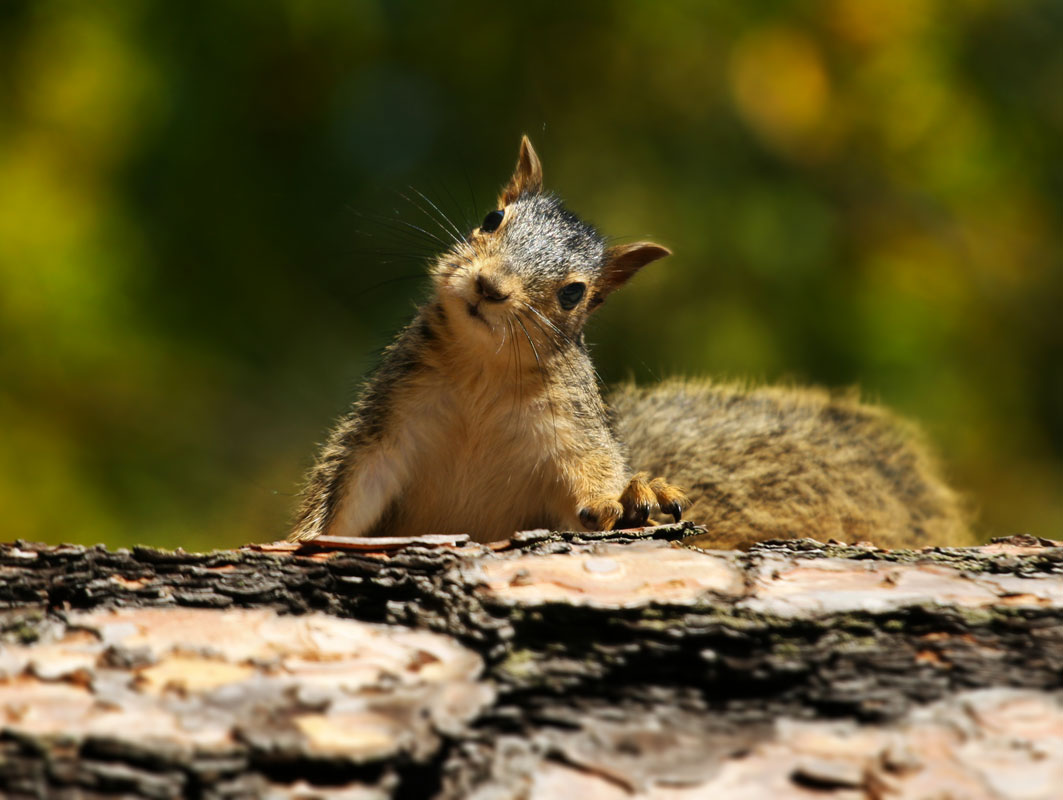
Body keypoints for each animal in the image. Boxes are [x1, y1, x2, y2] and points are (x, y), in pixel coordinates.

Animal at [293, 137, 973, 548]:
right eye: (491, 219)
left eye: (574, 293)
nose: (490, 286)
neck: (483, 375)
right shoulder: (391, 424)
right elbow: (344, 496)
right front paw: (301, 539)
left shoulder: (568, 445)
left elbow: (588, 494)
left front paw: (625, 496)